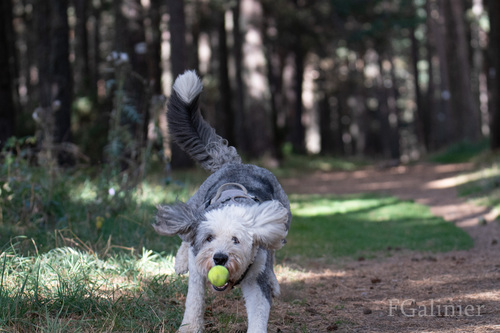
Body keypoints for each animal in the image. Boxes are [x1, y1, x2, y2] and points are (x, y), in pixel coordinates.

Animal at [154, 70, 292, 332]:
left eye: (236, 240)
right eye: (209, 238)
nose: (219, 258)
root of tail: (234, 163)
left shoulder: (255, 277)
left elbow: (259, 309)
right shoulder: (198, 266)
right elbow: (194, 299)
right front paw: (190, 327)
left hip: (283, 219)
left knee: (274, 249)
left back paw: (274, 282)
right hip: (197, 202)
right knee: (185, 234)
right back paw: (180, 262)